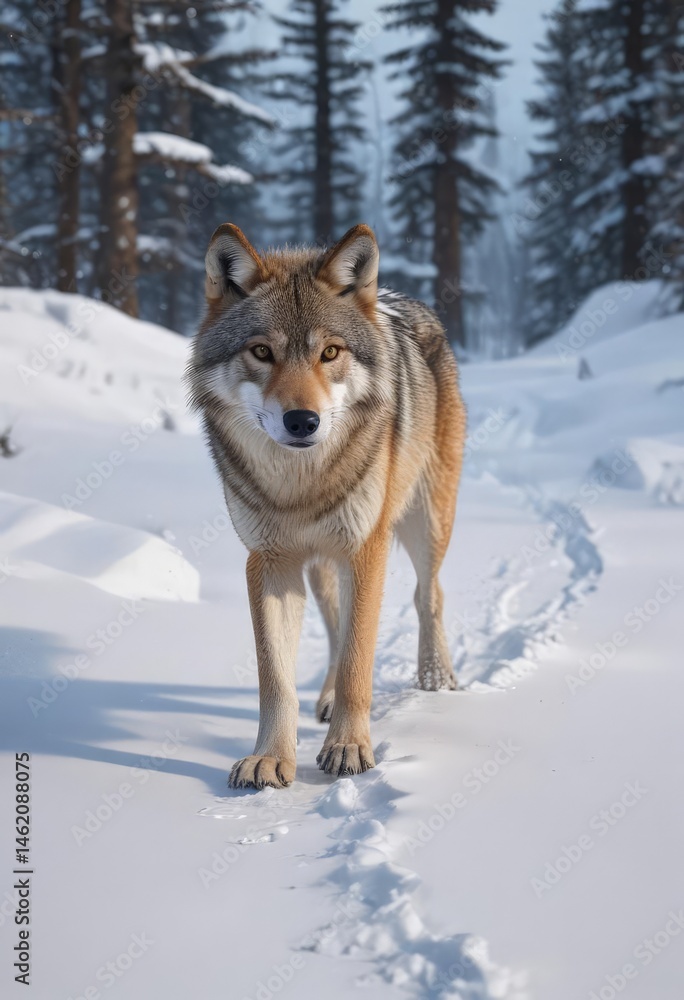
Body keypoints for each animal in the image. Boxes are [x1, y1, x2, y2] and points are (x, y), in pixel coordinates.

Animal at [187, 223, 466, 788]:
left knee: (428, 595)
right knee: (337, 631)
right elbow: (276, 677)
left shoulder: (365, 550)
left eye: (331, 353)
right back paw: (329, 699)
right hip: (321, 566)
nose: (302, 421)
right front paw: (269, 759)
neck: (300, 487)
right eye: (262, 351)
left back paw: (435, 678)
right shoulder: (269, 562)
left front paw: (349, 749)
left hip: (425, 524)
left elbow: (361, 660)